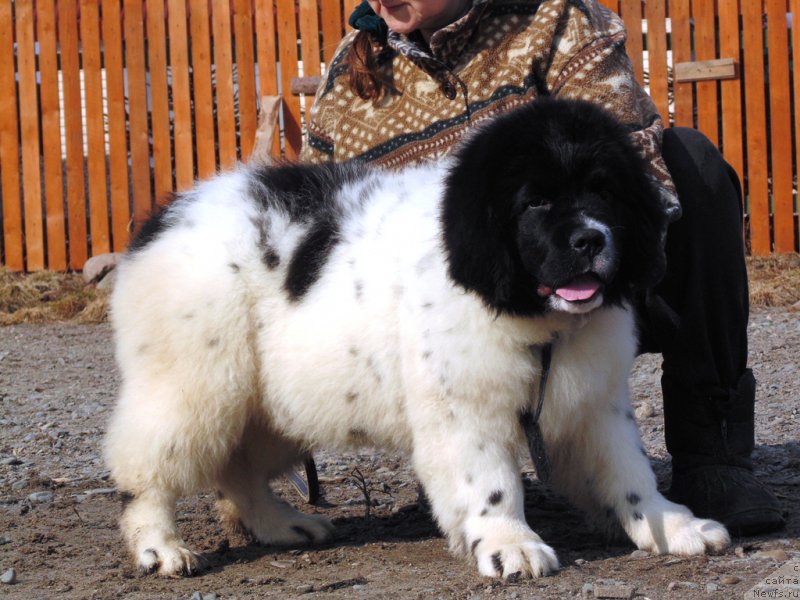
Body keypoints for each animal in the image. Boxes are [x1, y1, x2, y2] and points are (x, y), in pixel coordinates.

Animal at [103, 98, 728, 576]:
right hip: (194, 386)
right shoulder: (465, 409)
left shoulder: (595, 404)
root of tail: (161, 220)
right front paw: (512, 545)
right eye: (535, 202)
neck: (536, 317)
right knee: (148, 470)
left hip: (272, 402)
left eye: (604, 194)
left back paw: (284, 525)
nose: (591, 240)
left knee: (238, 470)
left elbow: (629, 473)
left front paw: (673, 525)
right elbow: (492, 482)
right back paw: (162, 548)